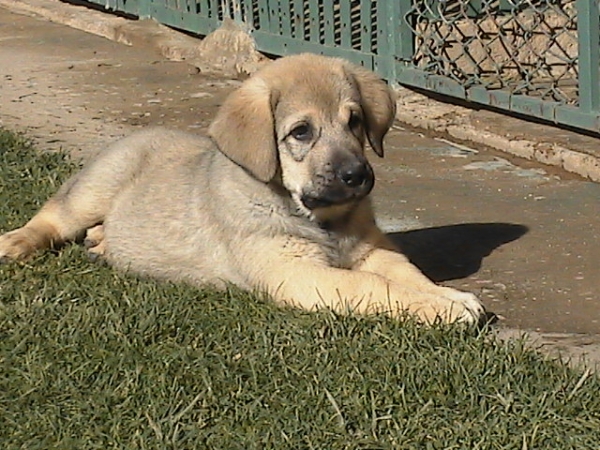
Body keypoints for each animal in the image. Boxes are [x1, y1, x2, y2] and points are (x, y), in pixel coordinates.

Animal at [0, 53, 486, 324]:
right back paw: (16, 243)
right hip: (96, 186)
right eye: (301, 132)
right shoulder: (297, 274)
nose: (357, 176)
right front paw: (443, 309)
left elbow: (408, 275)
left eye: (354, 122)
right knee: (53, 218)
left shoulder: (373, 250)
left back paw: (103, 243)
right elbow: (372, 287)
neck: (319, 219)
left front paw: (448, 297)